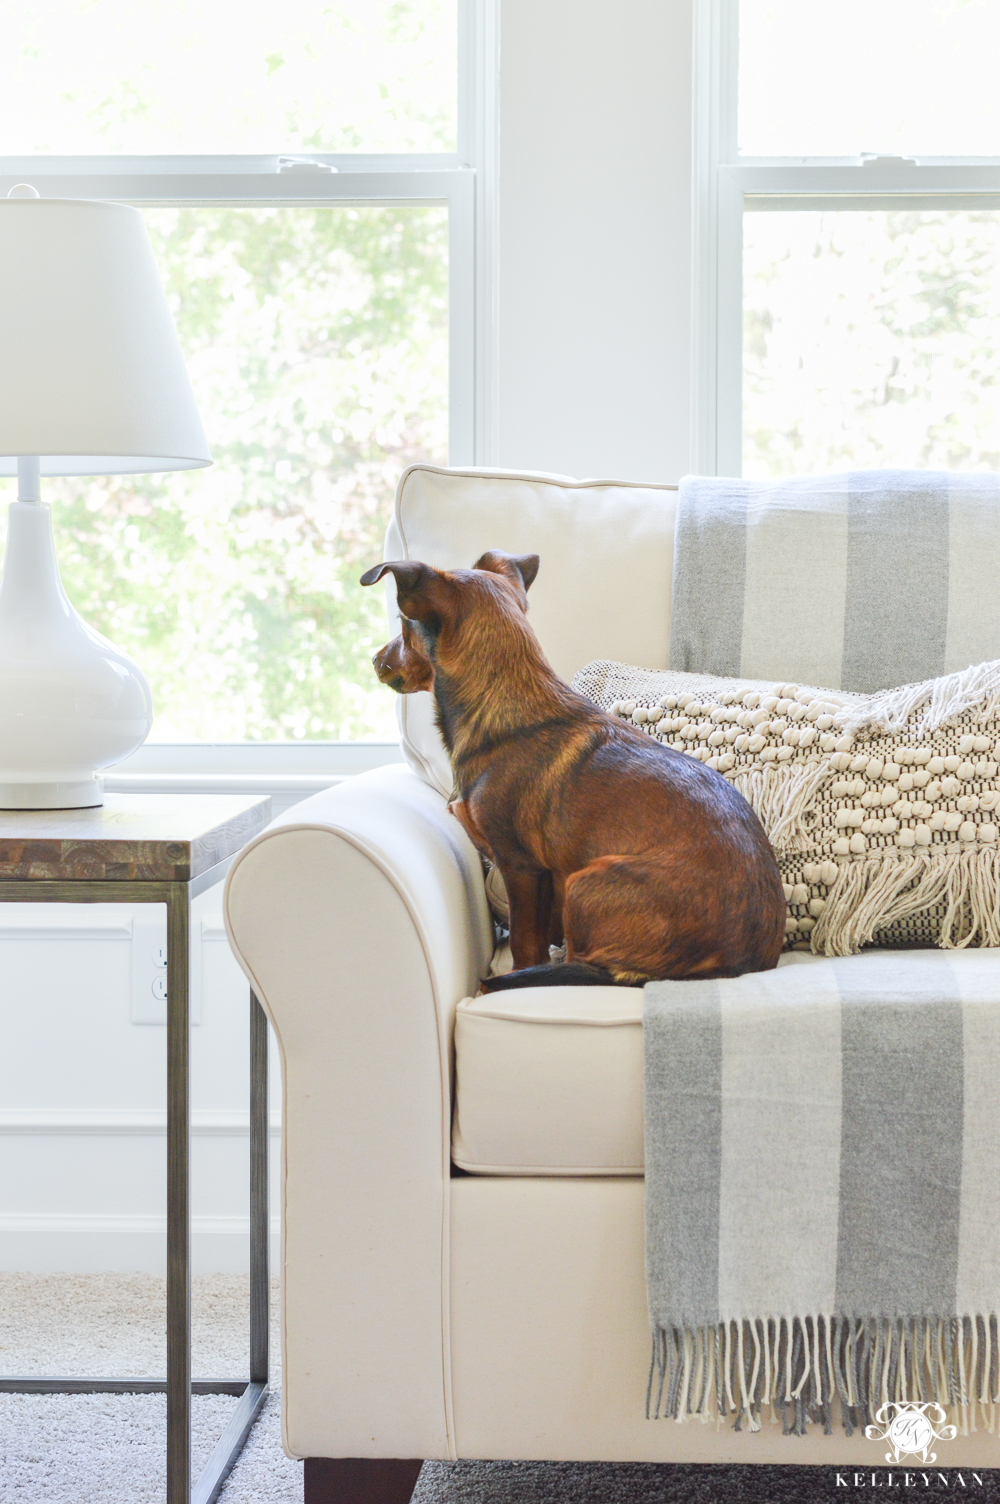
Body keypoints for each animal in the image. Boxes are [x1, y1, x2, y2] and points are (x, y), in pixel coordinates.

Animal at [360, 553, 787, 986]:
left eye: (402, 623)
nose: (375, 660)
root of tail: (732, 966)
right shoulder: (544, 879)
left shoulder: (520, 866)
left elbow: (524, 945)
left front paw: (517, 974)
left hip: (585, 882)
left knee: (578, 960)